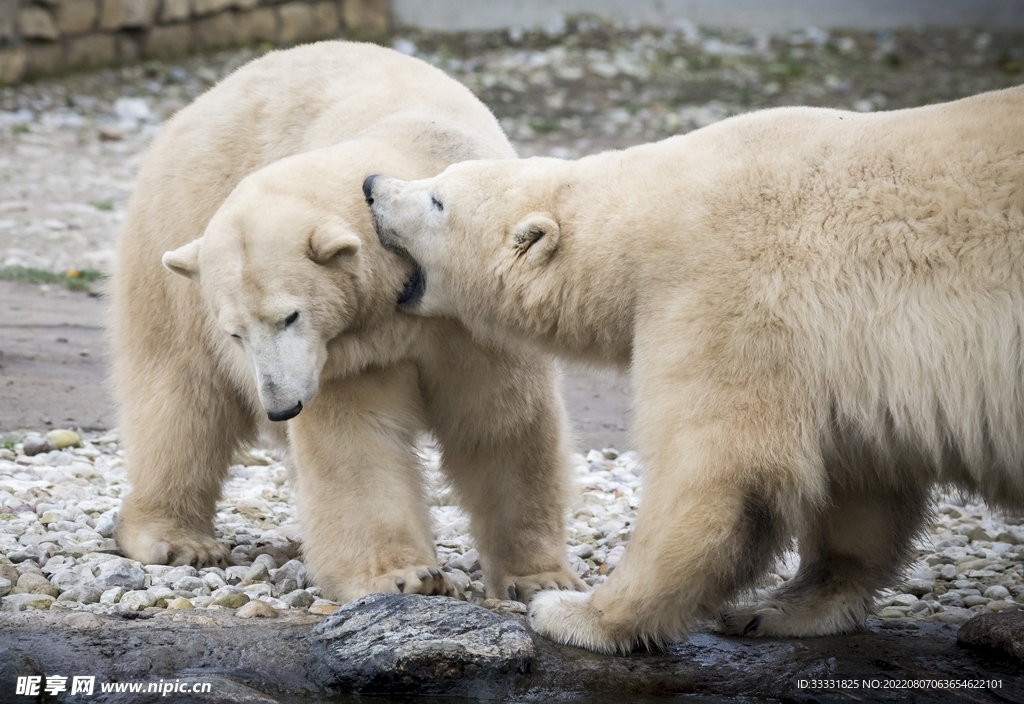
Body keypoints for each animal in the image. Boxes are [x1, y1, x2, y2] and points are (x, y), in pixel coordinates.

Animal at [111, 42, 585, 605]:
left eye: (289, 316)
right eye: (236, 333)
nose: (281, 406)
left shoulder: (471, 316)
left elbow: (502, 423)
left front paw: (540, 577)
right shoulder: (349, 352)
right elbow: (358, 439)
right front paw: (405, 576)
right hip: (170, 242)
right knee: (182, 397)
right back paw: (176, 540)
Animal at [364, 85, 1024, 650]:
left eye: (436, 199)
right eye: (436, 180)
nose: (371, 185)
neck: (644, 220)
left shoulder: (725, 292)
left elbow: (717, 472)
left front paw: (578, 614)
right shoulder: (844, 359)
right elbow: (862, 477)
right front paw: (781, 607)